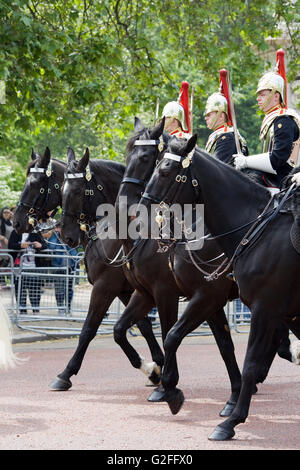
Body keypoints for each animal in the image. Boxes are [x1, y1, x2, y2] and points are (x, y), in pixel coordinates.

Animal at [141, 135, 300, 440]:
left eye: (165, 170)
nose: (141, 213)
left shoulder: (255, 306)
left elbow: (248, 362)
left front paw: (232, 420)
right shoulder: (213, 300)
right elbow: (186, 339)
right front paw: (172, 390)